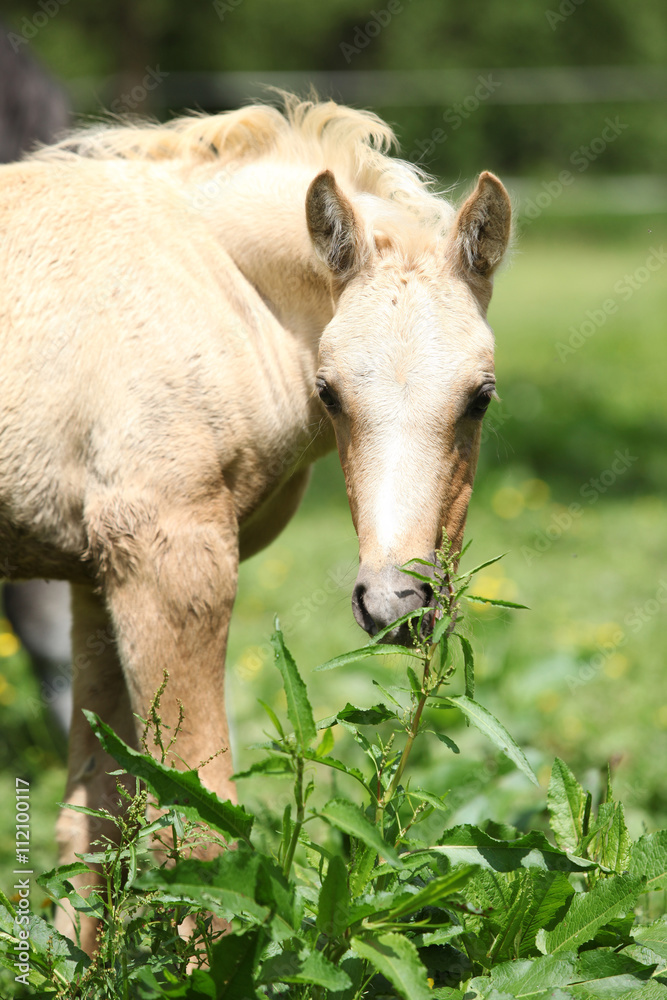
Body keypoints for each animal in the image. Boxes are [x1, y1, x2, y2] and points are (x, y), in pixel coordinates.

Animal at [0, 94, 510, 951]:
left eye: (479, 397)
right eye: (329, 392)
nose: (394, 602)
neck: (212, 285)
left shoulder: (94, 576)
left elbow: (93, 827)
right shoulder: (172, 561)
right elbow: (201, 833)